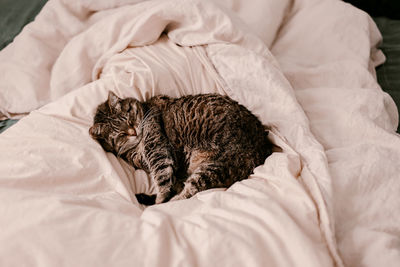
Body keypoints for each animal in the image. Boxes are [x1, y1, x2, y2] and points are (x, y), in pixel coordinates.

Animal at [89, 91, 274, 205]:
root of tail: (263, 149)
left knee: (187, 194)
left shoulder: (157, 148)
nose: (133, 132)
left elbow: (162, 177)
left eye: (128, 119)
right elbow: (170, 180)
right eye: (121, 134)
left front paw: (160, 198)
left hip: (214, 167)